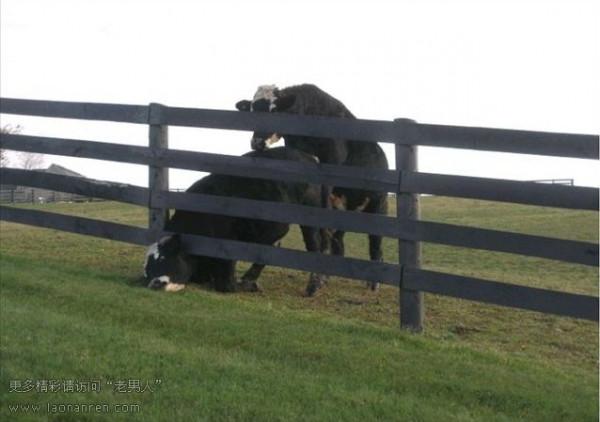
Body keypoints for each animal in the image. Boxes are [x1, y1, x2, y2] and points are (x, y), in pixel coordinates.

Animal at [143, 147, 326, 296]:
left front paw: (246, 284)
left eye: (163, 257)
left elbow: (227, 285)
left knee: (311, 244)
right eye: (147, 272)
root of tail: (307, 156)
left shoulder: (228, 244)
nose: (155, 283)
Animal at [234, 85, 390, 290]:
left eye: (274, 110)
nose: (257, 142)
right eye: (251, 110)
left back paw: (373, 282)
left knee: (375, 242)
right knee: (339, 241)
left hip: (378, 204)